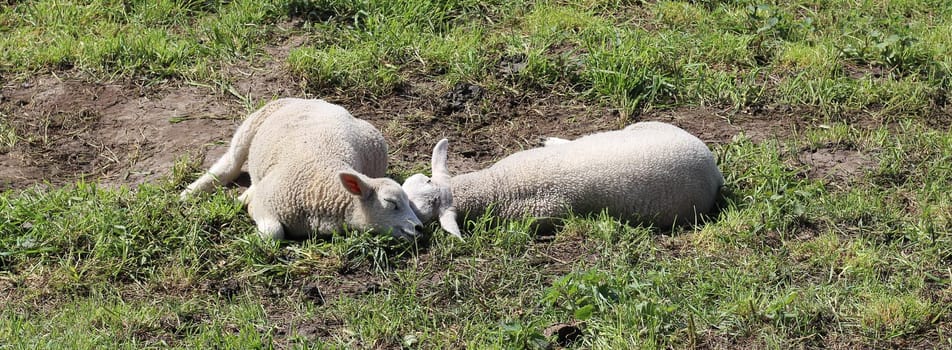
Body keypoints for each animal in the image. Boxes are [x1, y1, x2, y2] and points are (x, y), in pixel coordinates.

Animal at [179, 98, 424, 241]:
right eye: (391, 203)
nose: (420, 228)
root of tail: (321, 101)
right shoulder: (268, 203)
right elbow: (273, 233)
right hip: (253, 123)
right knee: (230, 163)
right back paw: (189, 193)